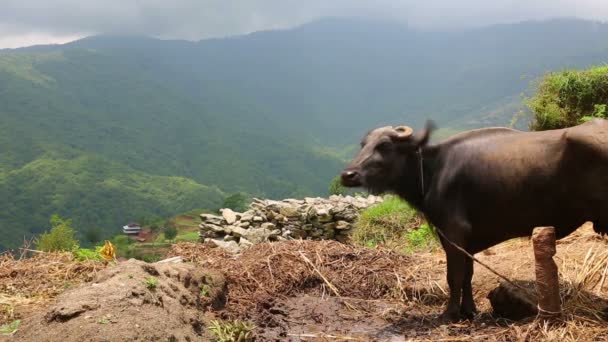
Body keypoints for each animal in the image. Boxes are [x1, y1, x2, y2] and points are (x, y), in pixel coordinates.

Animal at [340, 117, 608, 320]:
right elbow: (467, 275)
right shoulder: (466, 241)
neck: (433, 170)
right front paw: (468, 310)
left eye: (384, 145)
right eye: (363, 144)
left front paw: (449, 313)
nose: (348, 175)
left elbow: (454, 276)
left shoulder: (453, 232)